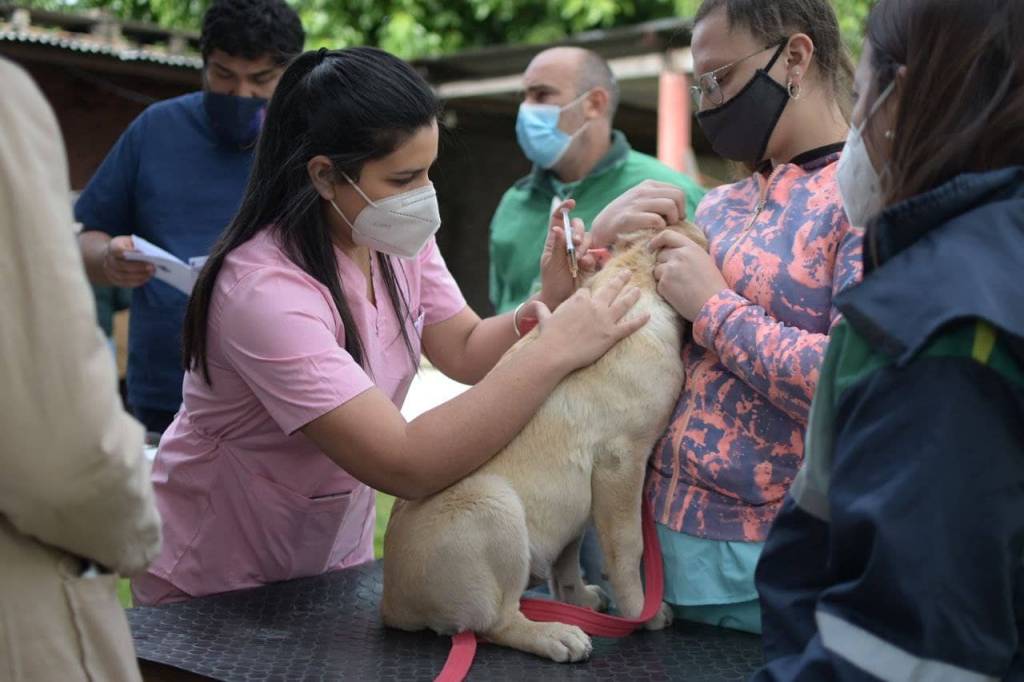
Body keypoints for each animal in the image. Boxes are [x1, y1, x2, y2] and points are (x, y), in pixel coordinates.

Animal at [382, 221, 707, 663]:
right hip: (494, 505)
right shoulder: (621, 461)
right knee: (497, 621)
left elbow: (567, 558)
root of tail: (392, 603)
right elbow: (628, 548)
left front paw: (579, 598)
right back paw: (554, 634)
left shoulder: (579, 495)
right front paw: (642, 613)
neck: (636, 274)